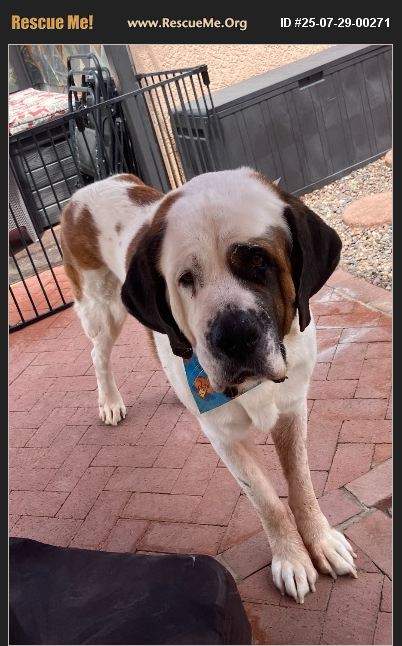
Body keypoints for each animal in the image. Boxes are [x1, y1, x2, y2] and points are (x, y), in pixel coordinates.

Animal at [60, 168, 357, 604]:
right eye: (186, 279)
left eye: (259, 261)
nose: (234, 336)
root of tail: (87, 189)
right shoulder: (224, 437)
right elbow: (266, 500)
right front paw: (291, 559)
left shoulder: (293, 408)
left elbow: (300, 483)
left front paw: (320, 542)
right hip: (102, 307)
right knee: (100, 354)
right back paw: (110, 401)